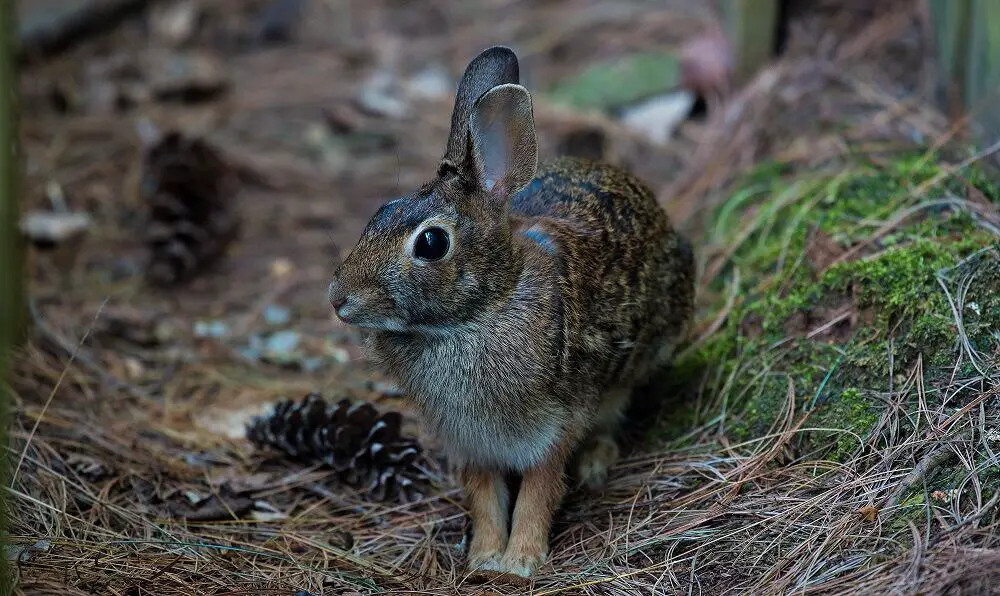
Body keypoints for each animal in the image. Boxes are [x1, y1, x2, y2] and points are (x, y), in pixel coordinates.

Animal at [328, 47, 696, 584]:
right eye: (381, 211)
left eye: (431, 243)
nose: (338, 298)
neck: (480, 312)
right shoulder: (470, 444)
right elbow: (485, 499)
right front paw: (484, 557)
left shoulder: (555, 426)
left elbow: (538, 493)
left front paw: (520, 562)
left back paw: (595, 465)